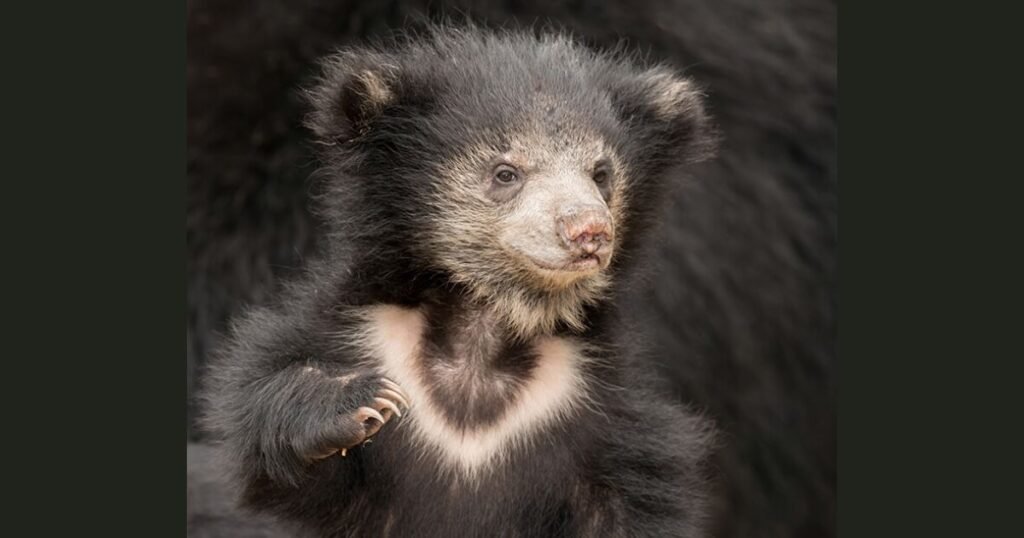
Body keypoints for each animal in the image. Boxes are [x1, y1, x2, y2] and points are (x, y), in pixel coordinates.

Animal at [200, 26, 720, 537]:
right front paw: (361, 402)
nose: (589, 231)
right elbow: (268, 417)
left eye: (601, 174)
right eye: (505, 173)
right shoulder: (358, 334)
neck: (485, 327)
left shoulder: (608, 417)